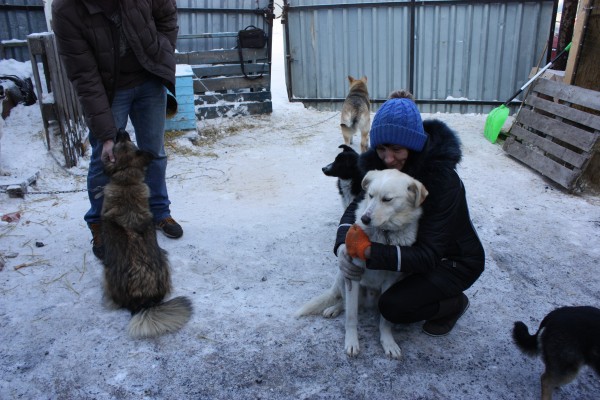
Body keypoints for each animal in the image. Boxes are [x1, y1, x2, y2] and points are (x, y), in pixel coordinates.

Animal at [99, 130, 191, 338]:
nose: (121, 130)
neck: (126, 182)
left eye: (119, 142)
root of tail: (145, 302)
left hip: (108, 272)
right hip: (165, 258)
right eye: (127, 140)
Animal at [296, 170, 426, 360]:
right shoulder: (353, 274)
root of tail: (369, 302)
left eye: (387, 199)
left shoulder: (390, 280)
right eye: (370, 195)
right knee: (345, 302)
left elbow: (385, 322)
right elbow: (351, 317)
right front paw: (351, 342)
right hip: (343, 276)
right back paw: (334, 309)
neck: (383, 237)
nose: (364, 218)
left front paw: (388, 342)